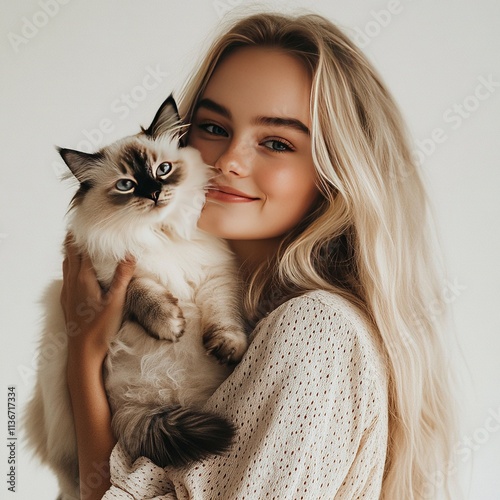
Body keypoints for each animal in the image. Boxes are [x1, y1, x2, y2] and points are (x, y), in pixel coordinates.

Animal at [25, 95, 248, 498]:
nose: (154, 193)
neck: (159, 234)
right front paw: (171, 327)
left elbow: (224, 318)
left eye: (163, 169)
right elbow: (145, 292)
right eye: (127, 185)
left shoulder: (215, 276)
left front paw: (226, 347)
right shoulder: (113, 276)